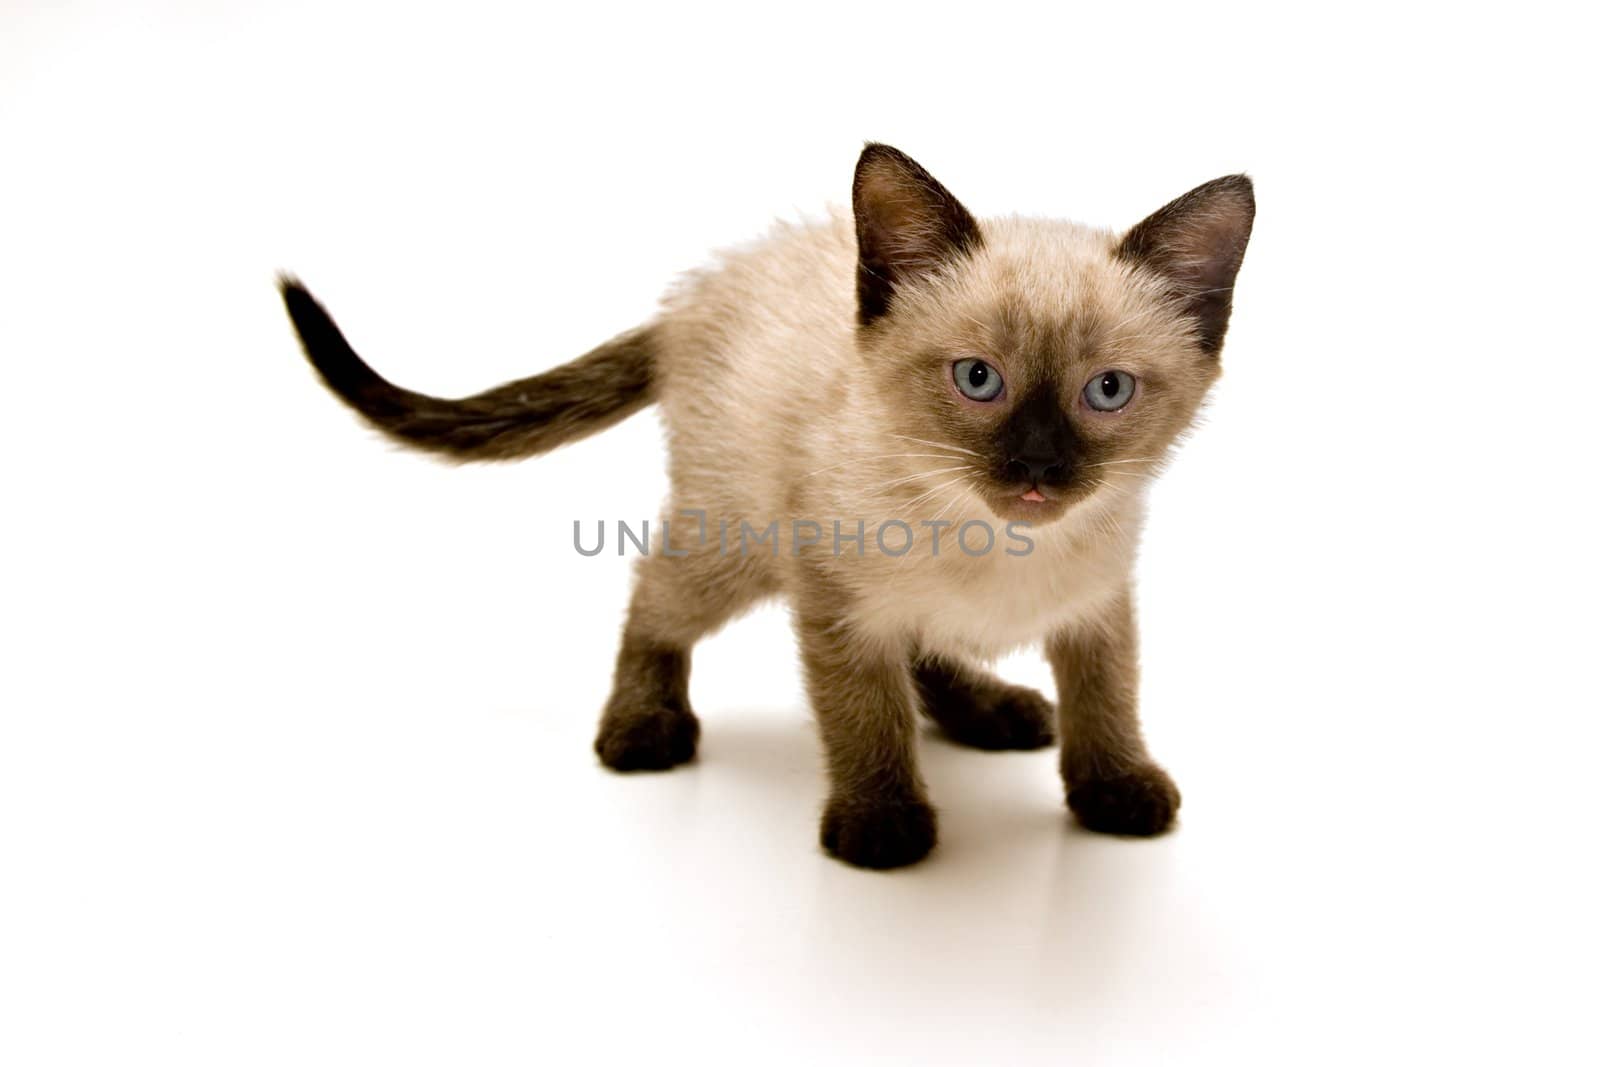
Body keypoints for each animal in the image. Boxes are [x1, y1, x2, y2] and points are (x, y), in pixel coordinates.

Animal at [281, 146, 1254, 870]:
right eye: (979, 379)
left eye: (1108, 390)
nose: (1039, 469)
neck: (995, 545)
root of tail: (698, 292)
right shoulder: (836, 605)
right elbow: (866, 713)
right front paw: (880, 823)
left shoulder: (1099, 603)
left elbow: (1106, 698)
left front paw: (1115, 787)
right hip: (731, 541)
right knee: (652, 599)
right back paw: (642, 727)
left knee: (927, 648)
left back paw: (989, 709)